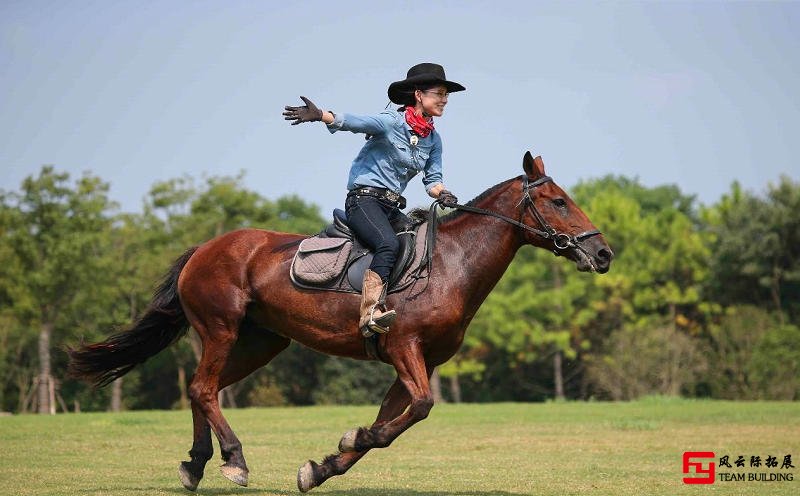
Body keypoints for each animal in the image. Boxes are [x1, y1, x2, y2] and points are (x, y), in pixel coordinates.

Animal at [69, 152, 612, 492]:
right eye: (559, 201)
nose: (603, 253)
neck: (450, 263)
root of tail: (203, 249)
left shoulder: (415, 360)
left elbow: (391, 424)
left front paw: (322, 467)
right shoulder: (404, 348)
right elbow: (415, 411)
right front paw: (346, 443)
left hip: (261, 343)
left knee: (203, 390)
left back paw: (196, 465)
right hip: (221, 329)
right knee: (203, 388)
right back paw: (234, 461)